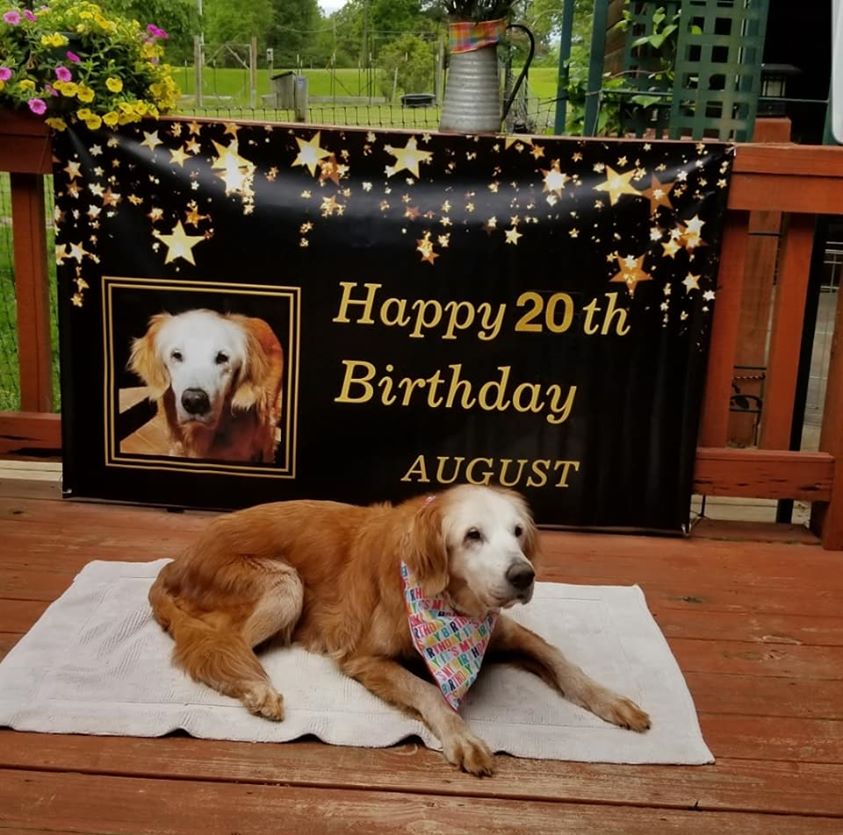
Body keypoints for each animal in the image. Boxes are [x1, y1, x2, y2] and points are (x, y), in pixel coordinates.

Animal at [150, 486, 652, 772]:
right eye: (473, 535)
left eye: (517, 532)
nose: (523, 576)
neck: (450, 605)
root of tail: (177, 562)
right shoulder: (364, 658)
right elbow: (429, 691)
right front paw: (460, 735)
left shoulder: (505, 632)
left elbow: (564, 662)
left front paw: (612, 701)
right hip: (285, 585)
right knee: (221, 645)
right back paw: (257, 690)